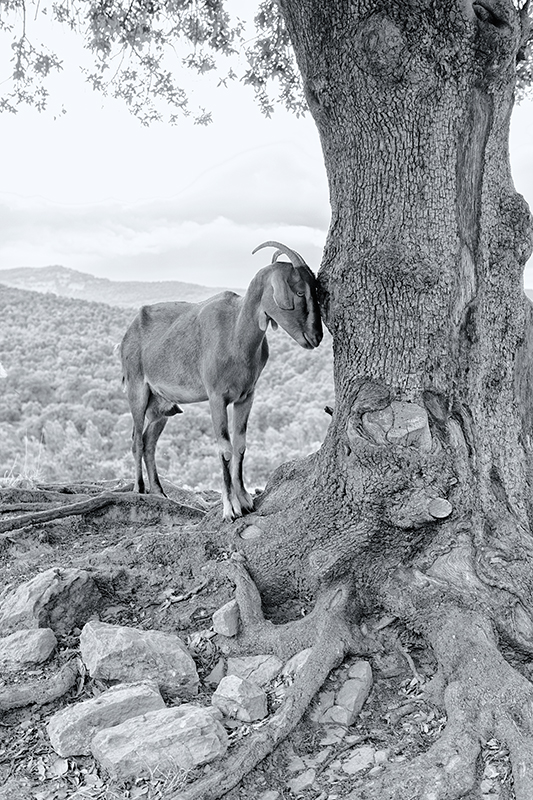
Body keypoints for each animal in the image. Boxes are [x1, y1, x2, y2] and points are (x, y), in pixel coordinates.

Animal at [119, 241, 322, 520]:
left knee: (149, 441)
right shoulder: (216, 397)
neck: (235, 333)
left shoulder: (246, 396)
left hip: (162, 405)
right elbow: (224, 448)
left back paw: (159, 494)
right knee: (136, 440)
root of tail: (127, 335)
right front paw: (231, 508)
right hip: (137, 389)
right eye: (300, 291)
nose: (316, 336)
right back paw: (139, 491)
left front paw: (246, 500)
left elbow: (240, 445)